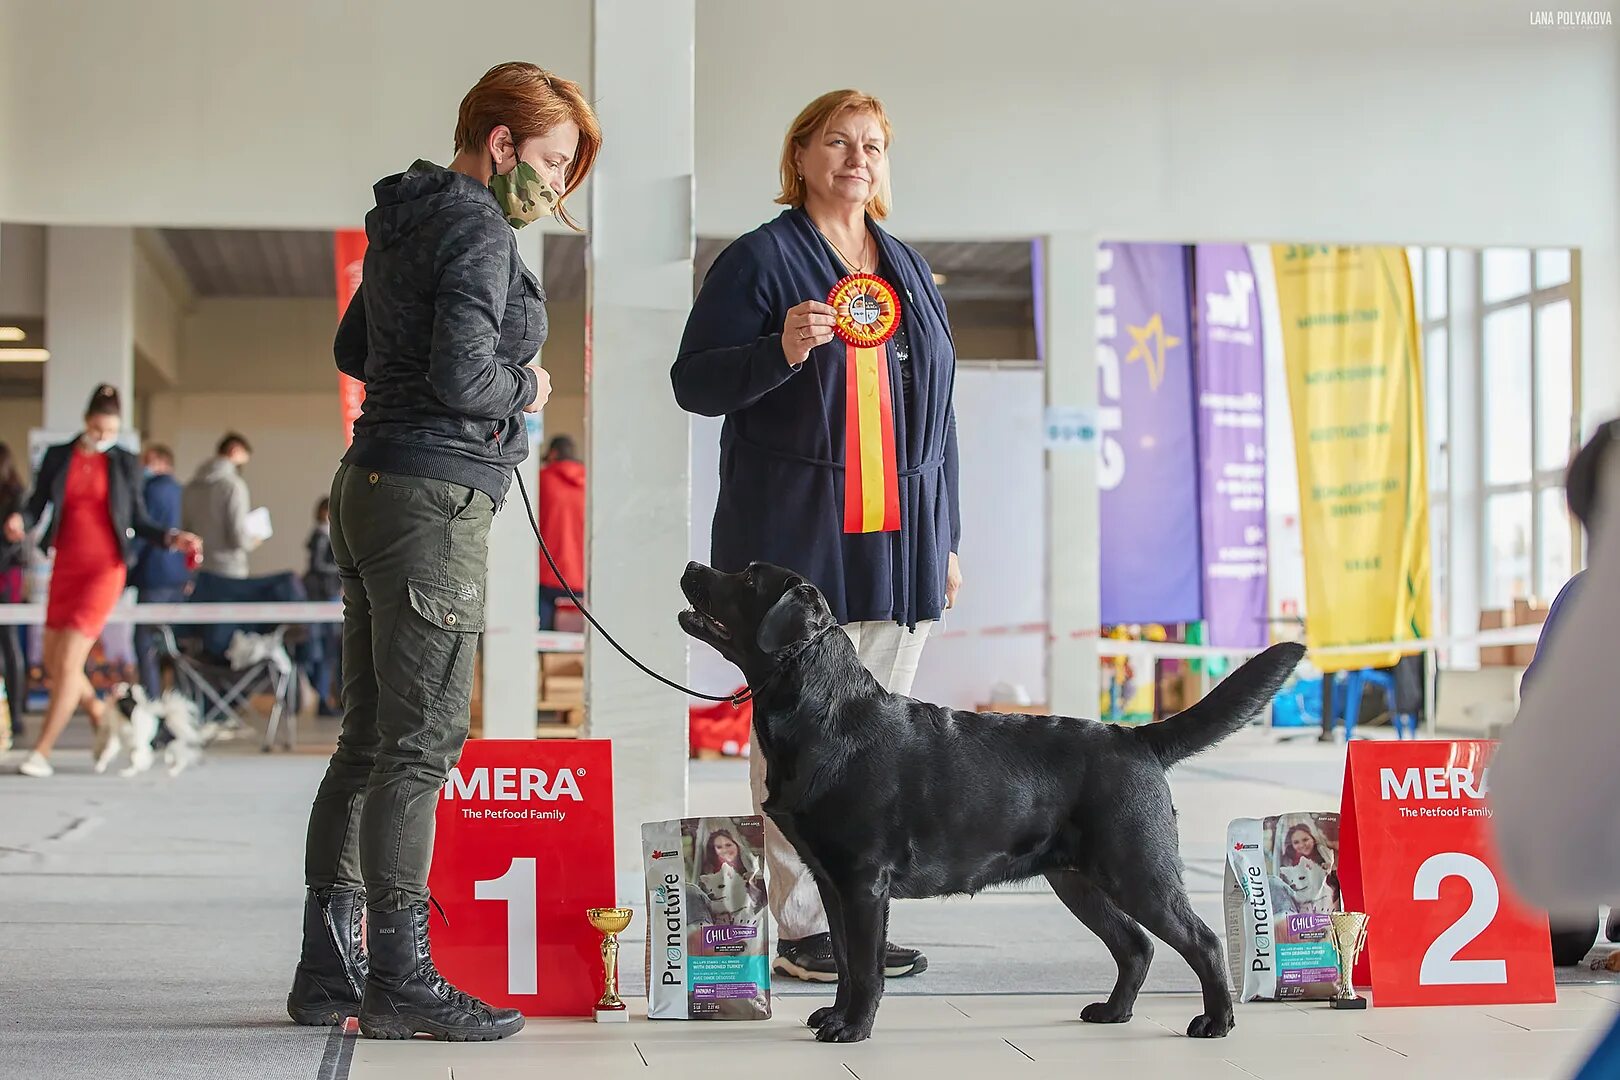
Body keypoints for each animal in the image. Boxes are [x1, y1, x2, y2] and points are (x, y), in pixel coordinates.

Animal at [680, 563, 1302, 1042]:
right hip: (1077, 879)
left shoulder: (863, 883)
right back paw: (1113, 1012)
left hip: (1137, 868)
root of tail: (1136, 737)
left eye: (749, 578)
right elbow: (846, 965)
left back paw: (1215, 1022)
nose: (690, 567)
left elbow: (865, 966)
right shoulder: (832, 882)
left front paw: (852, 1029)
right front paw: (835, 1017)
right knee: (1135, 946)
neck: (825, 714)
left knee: (1200, 939)